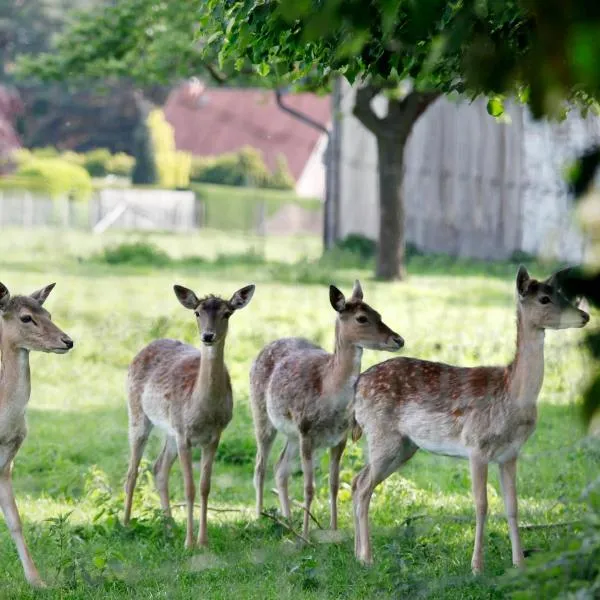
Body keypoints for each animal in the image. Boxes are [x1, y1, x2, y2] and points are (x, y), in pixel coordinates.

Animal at [123, 282, 254, 548]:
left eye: (227, 313)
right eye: (197, 312)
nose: (208, 336)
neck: (203, 411)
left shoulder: (214, 436)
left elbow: (204, 486)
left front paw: (203, 541)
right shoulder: (184, 434)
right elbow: (189, 487)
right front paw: (189, 543)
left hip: (170, 431)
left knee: (158, 468)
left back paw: (169, 526)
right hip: (138, 414)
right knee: (133, 470)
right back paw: (126, 524)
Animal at [248, 282, 404, 540]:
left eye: (378, 313)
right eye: (362, 318)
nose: (398, 339)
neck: (329, 394)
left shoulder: (340, 437)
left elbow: (333, 484)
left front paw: (333, 529)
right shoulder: (306, 431)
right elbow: (309, 487)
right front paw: (306, 535)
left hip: (292, 435)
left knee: (280, 467)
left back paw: (287, 520)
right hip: (261, 413)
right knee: (261, 464)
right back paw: (261, 517)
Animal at [352, 266, 592, 568]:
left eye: (560, 293)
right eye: (545, 299)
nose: (584, 316)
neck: (510, 393)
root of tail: (357, 386)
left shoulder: (510, 453)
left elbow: (513, 506)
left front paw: (519, 563)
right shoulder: (476, 445)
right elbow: (482, 504)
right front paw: (477, 566)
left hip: (405, 446)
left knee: (358, 480)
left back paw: (356, 554)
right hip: (382, 435)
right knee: (363, 486)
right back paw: (367, 559)